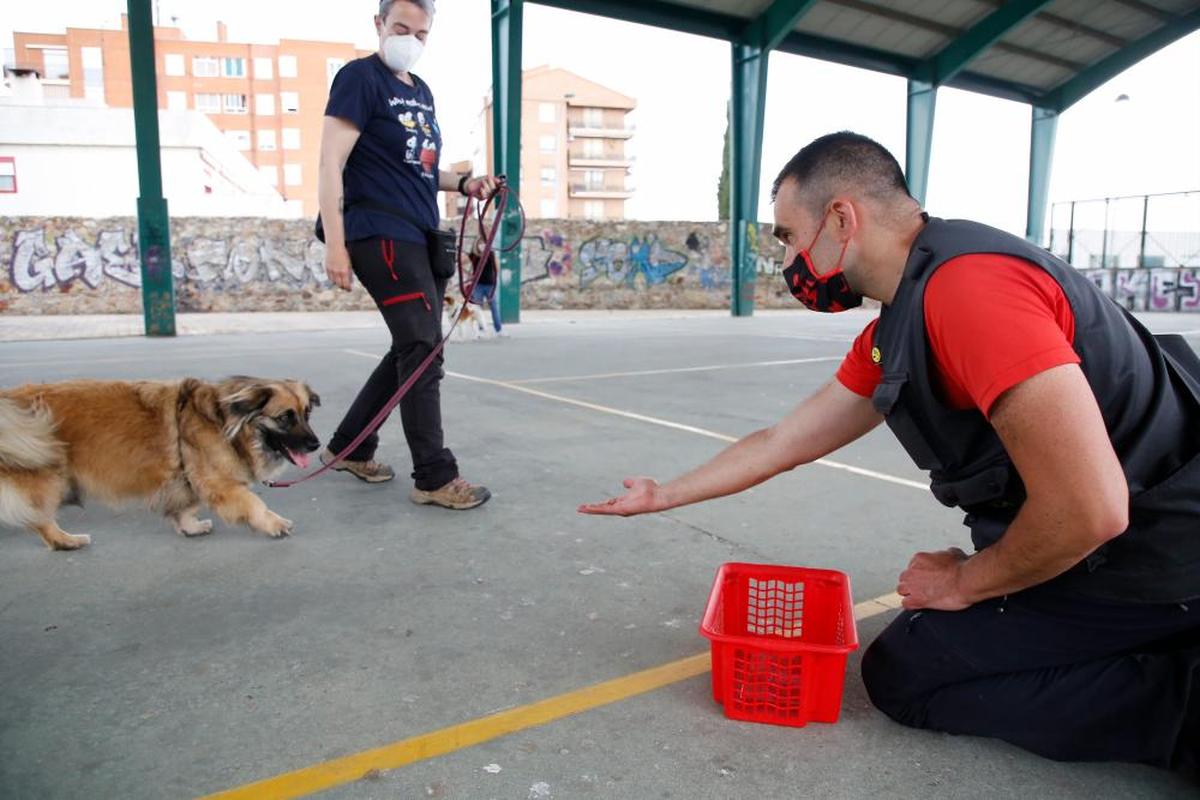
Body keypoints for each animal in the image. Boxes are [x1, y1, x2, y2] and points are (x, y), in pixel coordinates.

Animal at [0, 376, 321, 551]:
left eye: (307, 414)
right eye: (285, 417)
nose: (316, 445)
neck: (225, 422)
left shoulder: (189, 477)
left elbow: (186, 506)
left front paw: (190, 527)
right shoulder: (220, 484)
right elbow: (255, 504)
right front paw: (274, 523)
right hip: (46, 477)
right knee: (40, 518)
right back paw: (65, 541)